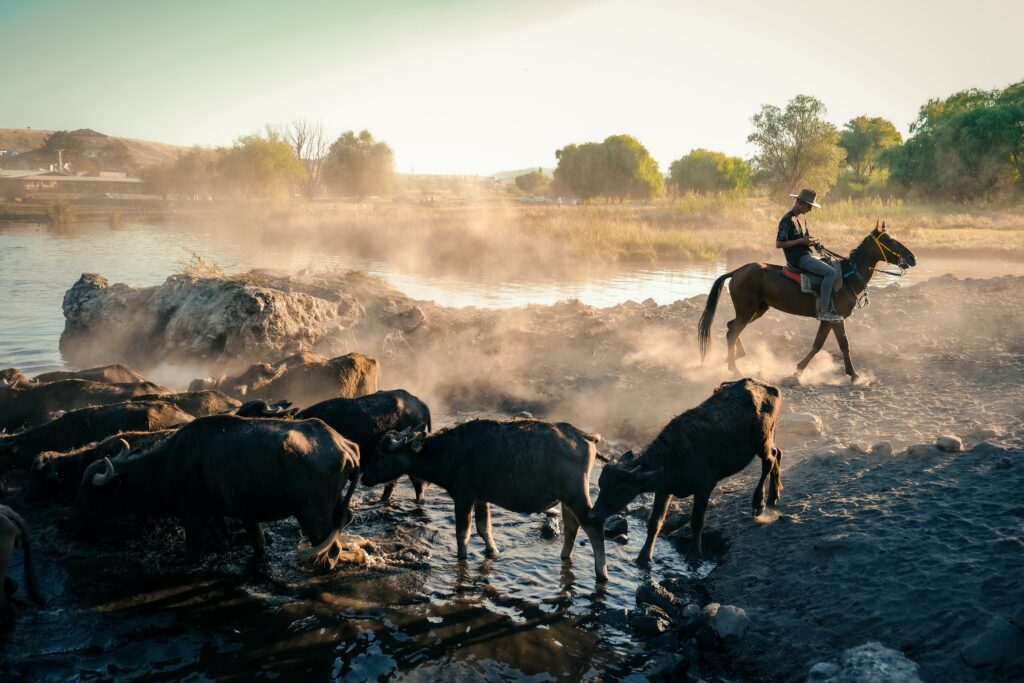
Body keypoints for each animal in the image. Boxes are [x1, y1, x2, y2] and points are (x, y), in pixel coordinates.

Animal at [74, 411, 360, 565]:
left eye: (90, 492)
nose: (77, 521)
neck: (171, 464)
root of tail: (344, 445)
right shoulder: (245, 515)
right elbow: (256, 543)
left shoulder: (194, 517)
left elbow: (192, 552)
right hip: (333, 507)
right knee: (345, 519)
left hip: (313, 515)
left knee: (330, 548)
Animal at [589, 376, 778, 565]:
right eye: (601, 485)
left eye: (619, 490)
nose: (594, 515)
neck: (674, 456)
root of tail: (768, 388)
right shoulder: (663, 489)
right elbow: (654, 522)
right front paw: (643, 558)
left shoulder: (704, 487)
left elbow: (696, 522)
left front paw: (694, 555)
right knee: (778, 453)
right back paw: (773, 497)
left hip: (762, 440)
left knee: (769, 461)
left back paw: (759, 503)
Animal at [700, 222, 917, 382]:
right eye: (889, 240)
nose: (912, 258)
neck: (848, 277)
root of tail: (737, 271)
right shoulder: (836, 318)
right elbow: (843, 344)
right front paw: (854, 375)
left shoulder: (828, 319)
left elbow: (818, 344)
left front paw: (799, 369)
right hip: (747, 311)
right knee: (733, 332)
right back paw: (734, 369)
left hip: (757, 310)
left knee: (731, 327)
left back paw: (736, 356)